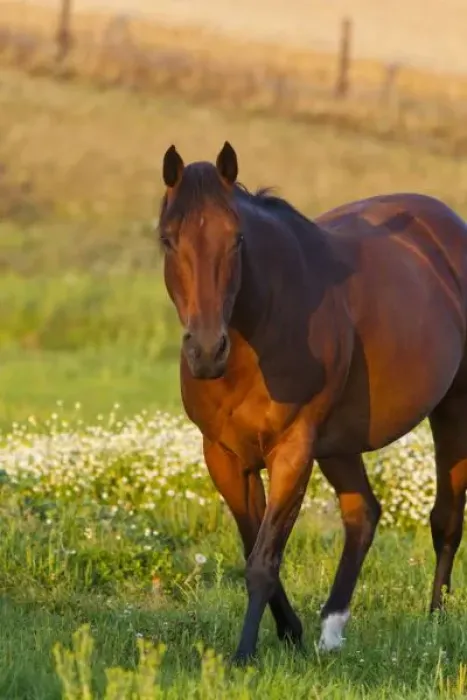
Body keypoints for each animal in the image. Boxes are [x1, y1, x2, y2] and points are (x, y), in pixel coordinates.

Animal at [157, 141, 467, 664]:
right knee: (363, 515)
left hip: (453, 409)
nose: (206, 350)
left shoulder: (292, 450)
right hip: (338, 444)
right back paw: (331, 630)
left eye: (237, 239)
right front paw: (291, 632)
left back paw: (434, 622)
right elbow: (253, 545)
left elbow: (263, 559)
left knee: (445, 518)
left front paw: (244, 654)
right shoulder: (223, 456)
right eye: (167, 239)